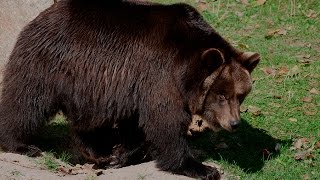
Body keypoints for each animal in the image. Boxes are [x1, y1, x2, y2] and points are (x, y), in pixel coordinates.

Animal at [0, 0, 260, 179]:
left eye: (240, 96)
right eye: (222, 95)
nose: (234, 123)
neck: (185, 68)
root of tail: (45, 14)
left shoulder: (135, 86)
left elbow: (137, 126)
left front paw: (120, 155)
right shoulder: (160, 77)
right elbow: (165, 123)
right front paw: (200, 167)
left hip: (89, 87)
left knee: (90, 121)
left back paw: (99, 151)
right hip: (49, 65)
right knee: (26, 101)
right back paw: (21, 144)